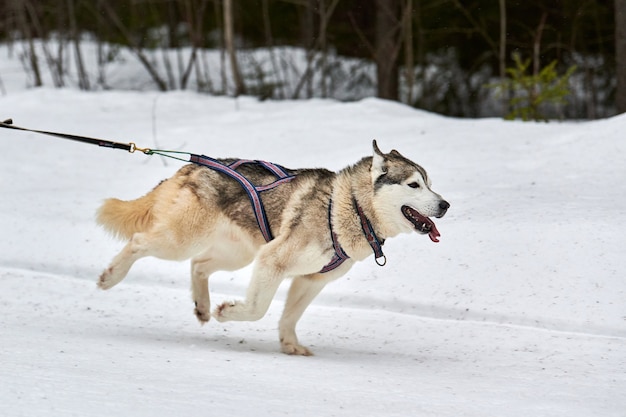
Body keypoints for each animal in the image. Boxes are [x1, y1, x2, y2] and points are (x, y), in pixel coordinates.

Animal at [96, 141, 448, 354]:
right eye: (414, 184)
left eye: (430, 183)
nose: (445, 204)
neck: (347, 207)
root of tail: (190, 165)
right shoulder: (272, 261)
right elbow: (258, 309)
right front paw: (229, 312)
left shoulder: (310, 280)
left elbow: (289, 317)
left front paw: (290, 344)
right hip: (183, 240)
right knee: (140, 242)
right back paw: (111, 276)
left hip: (236, 254)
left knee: (199, 265)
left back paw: (202, 305)